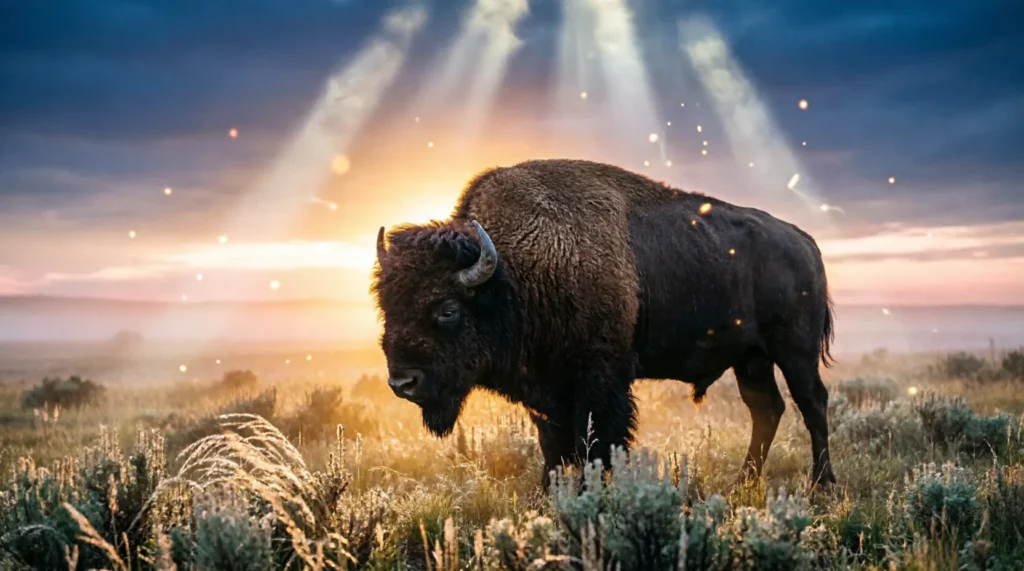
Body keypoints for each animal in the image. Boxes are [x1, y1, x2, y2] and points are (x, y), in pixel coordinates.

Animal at [372, 158, 837, 488]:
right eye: (385, 306)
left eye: (447, 309)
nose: (402, 383)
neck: (514, 274)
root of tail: (805, 241)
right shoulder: (546, 392)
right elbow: (553, 448)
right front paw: (550, 494)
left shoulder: (600, 381)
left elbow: (595, 444)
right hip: (750, 358)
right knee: (767, 409)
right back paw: (745, 482)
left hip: (795, 351)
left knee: (812, 402)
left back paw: (822, 484)